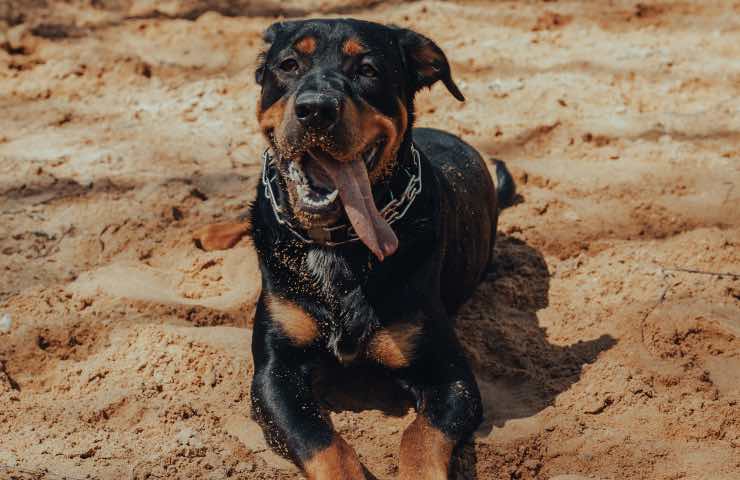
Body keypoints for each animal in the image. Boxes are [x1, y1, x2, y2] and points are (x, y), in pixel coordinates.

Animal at [194, 18, 516, 480]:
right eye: (288, 64)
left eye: (367, 69)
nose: (316, 109)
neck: (339, 244)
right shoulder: (275, 372)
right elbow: (321, 441)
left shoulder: (451, 377)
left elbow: (420, 437)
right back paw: (212, 230)